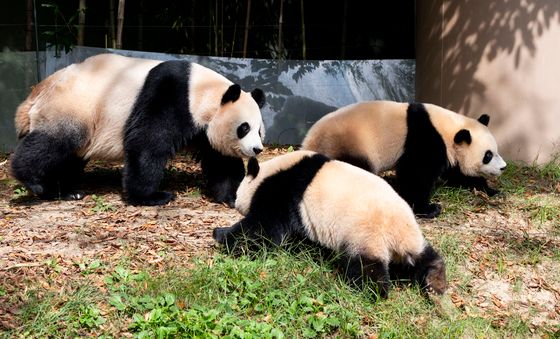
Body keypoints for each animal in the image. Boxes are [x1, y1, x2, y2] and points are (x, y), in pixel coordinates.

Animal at [9, 53, 266, 207]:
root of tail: (39, 90)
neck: (203, 91)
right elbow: (147, 143)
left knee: (68, 158)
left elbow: (220, 161)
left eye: (260, 131)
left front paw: (232, 196)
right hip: (74, 106)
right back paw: (36, 182)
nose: (257, 149)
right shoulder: (170, 95)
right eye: (244, 128)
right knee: (54, 143)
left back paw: (66, 191)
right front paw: (152, 196)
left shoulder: (204, 127)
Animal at [212, 150, 448, 298]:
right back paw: (435, 278)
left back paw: (373, 290)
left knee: (366, 266)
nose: (233, 203)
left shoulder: (283, 191)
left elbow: (263, 229)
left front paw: (220, 234)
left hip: (364, 233)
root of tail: (397, 236)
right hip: (410, 234)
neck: (270, 172)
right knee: (424, 255)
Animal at [302, 100, 508, 218]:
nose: (503, 167)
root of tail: (308, 142)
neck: (448, 129)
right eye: (488, 155)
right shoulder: (425, 138)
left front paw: (492, 190)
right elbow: (417, 174)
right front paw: (429, 209)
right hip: (348, 144)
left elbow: (456, 174)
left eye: (496, 151)